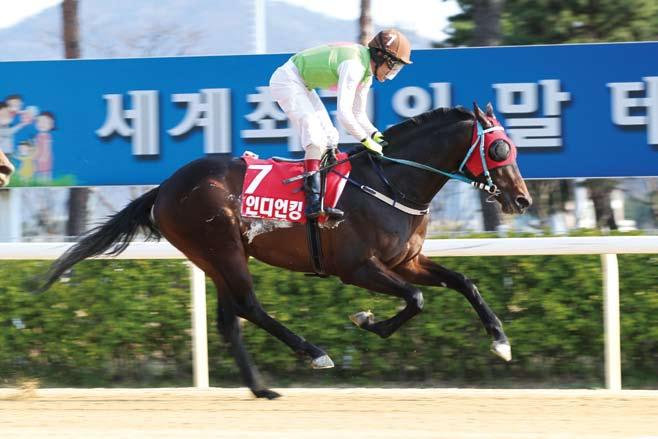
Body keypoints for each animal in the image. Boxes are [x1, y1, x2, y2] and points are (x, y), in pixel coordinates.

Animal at [43, 102, 532, 398]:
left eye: (513, 144)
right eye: (499, 148)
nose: (522, 199)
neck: (392, 182)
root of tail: (164, 187)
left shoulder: (406, 260)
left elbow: (463, 282)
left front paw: (502, 342)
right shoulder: (357, 267)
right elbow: (416, 299)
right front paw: (366, 320)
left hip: (215, 257)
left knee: (230, 320)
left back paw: (261, 387)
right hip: (222, 249)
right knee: (249, 307)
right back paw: (313, 353)